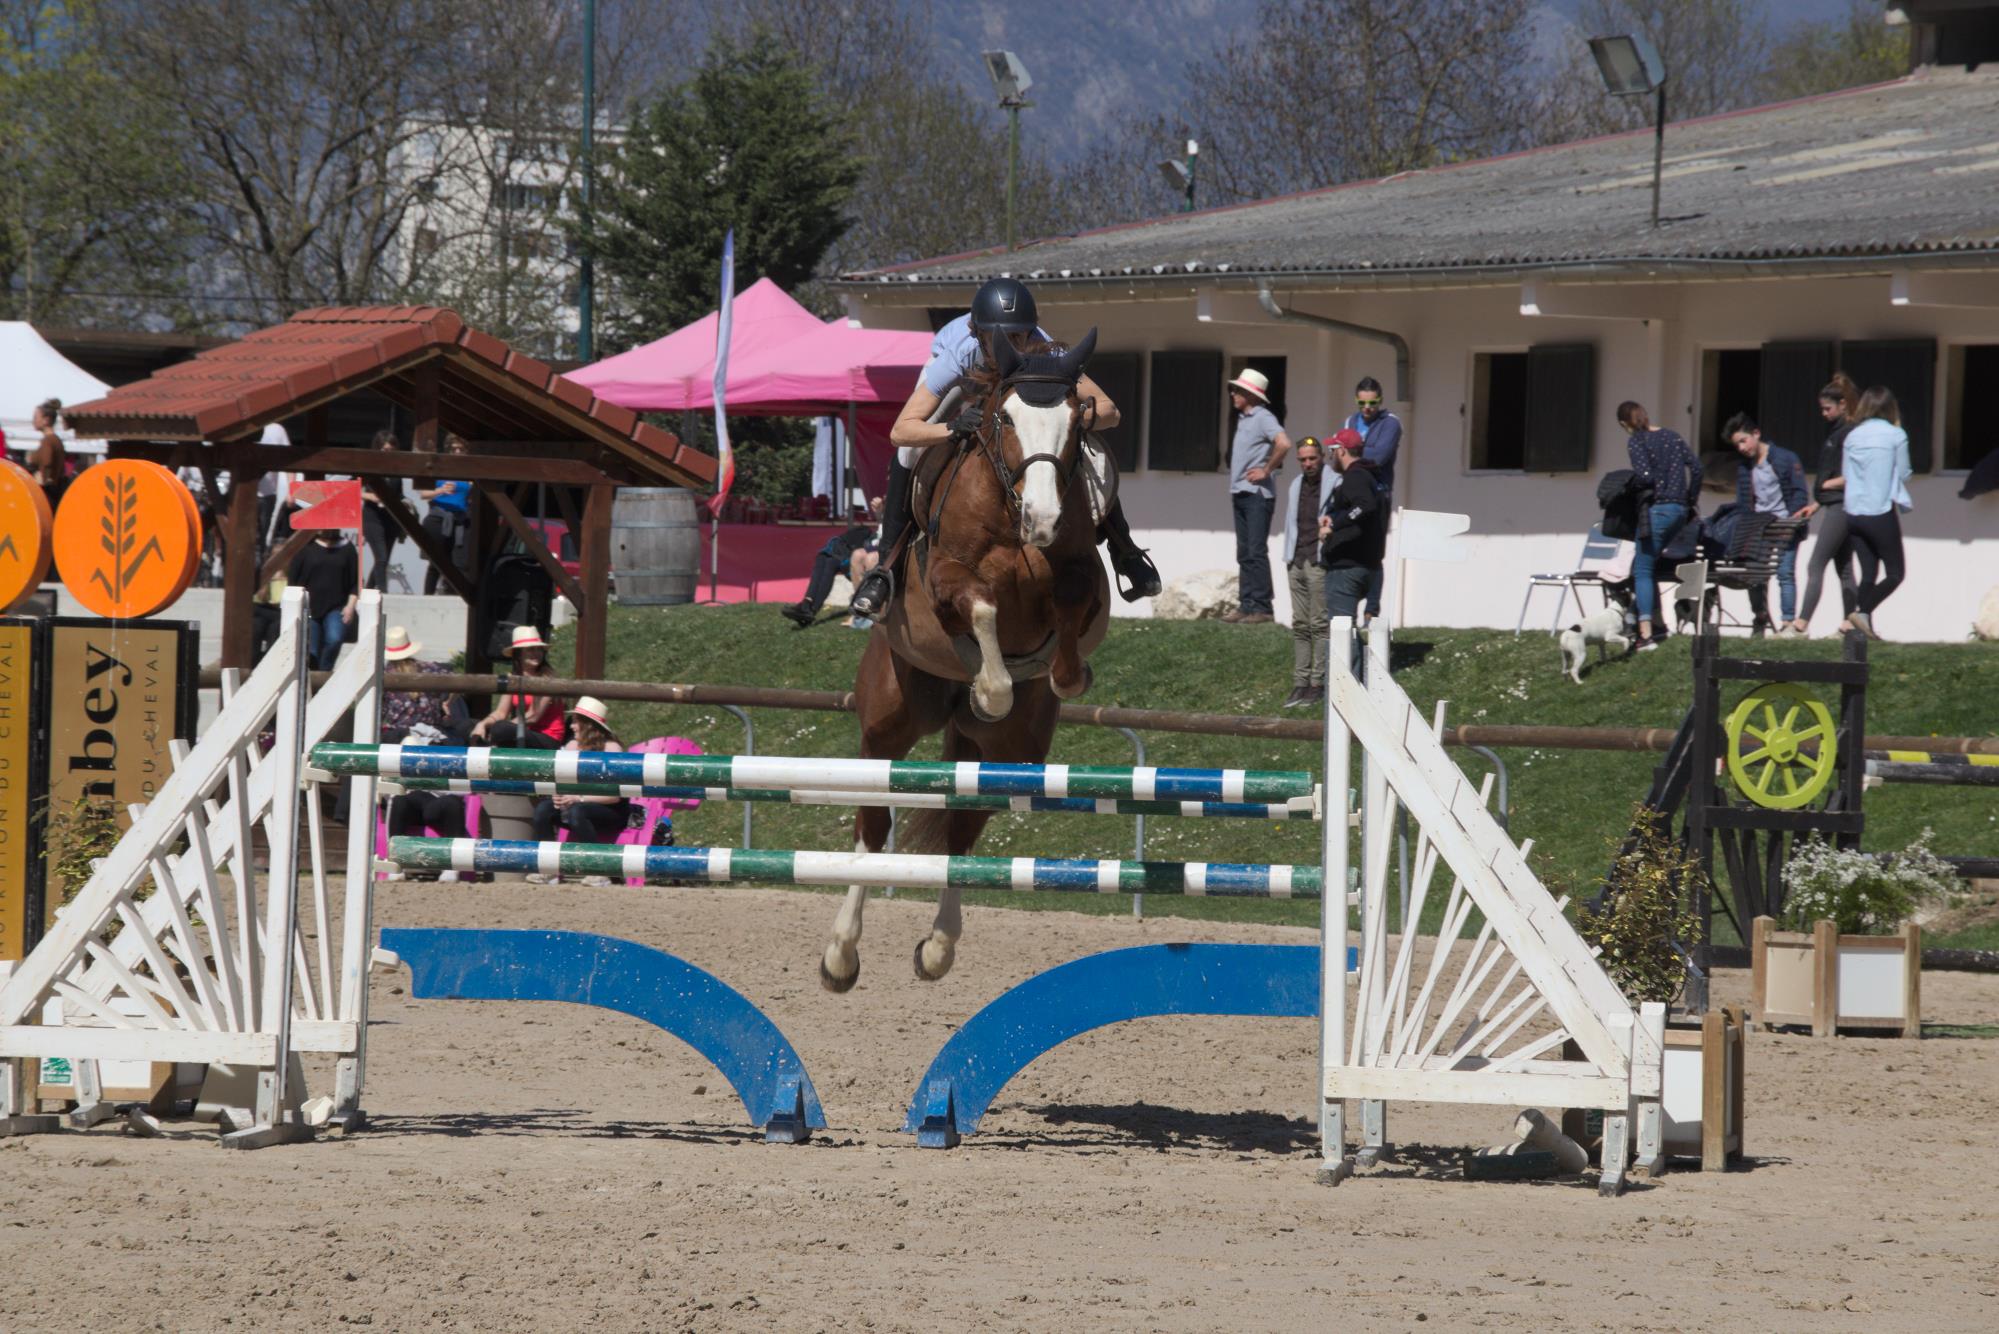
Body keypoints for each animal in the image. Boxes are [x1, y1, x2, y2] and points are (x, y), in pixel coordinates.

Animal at [819, 334, 1119, 992]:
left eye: (1075, 421)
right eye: (1004, 419)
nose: (1042, 519)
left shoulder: (1079, 573)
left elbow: (1069, 613)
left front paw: (1062, 673)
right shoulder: (948, 578)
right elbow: (980, 607)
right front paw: (989, 686)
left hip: (1005, 752)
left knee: (962, 827)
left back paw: (937, 948)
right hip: (889, 721)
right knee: (872, 827)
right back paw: (841, 954)